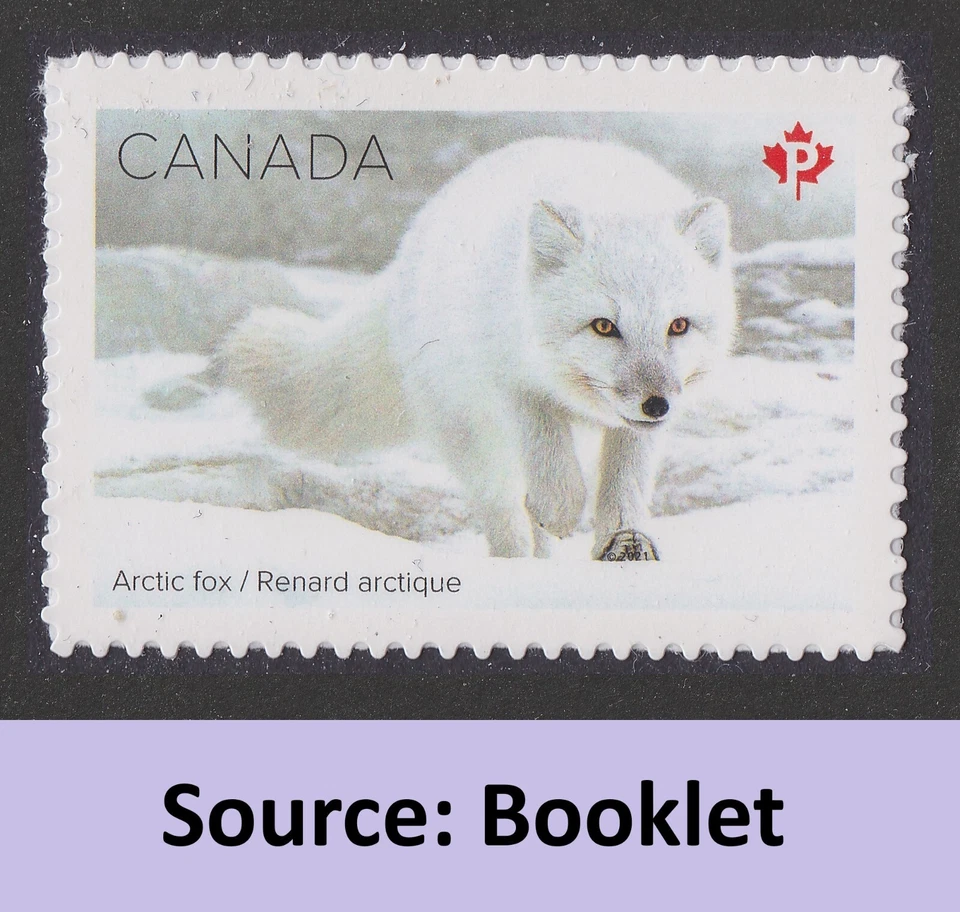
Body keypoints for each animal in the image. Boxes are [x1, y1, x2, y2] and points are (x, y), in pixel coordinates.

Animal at [216, 137, 737, 560]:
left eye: (678, 325)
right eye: (604, 326)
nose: (657, 404)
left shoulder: (634, 426)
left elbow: (625, 480)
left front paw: (624, 541)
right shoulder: (509, 380)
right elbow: (548, 455)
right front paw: (560, 508)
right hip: (469, 432)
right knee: (503, 509)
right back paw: (516, 561)